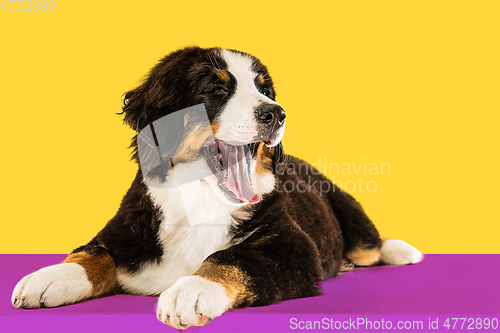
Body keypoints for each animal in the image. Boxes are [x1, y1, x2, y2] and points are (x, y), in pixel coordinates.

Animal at [11, 46, 422, 330]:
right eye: (217, 89)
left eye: (266, 90)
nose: (276, 113)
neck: (201, 198)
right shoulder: (125, 228)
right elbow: (93, 252)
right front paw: (50, 277)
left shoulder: (293, 246)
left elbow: (231, 257)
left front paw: (191, 289)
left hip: (347, 211)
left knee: (371, 245)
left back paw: (400, 251)